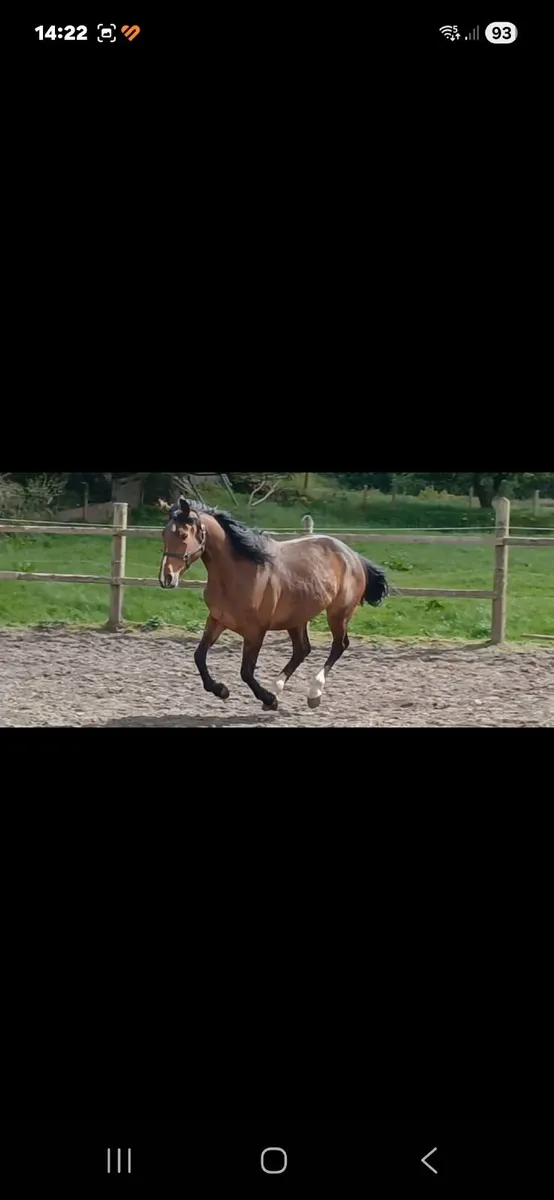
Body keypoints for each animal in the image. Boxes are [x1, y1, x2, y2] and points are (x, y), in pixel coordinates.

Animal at [157, 496, 389, 711]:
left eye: (183, 535)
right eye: (164, 534)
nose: (166, 578)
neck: (238, 573)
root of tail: (353, 556)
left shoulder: (255, 631)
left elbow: (246, 672)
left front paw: (268, 699)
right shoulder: (217, 619)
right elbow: (199, 656)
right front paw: (221, 690)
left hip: (339, 613)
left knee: (339, 645)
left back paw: (313, 692)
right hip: (297, 618)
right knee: (302, 650)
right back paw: (277, 687)